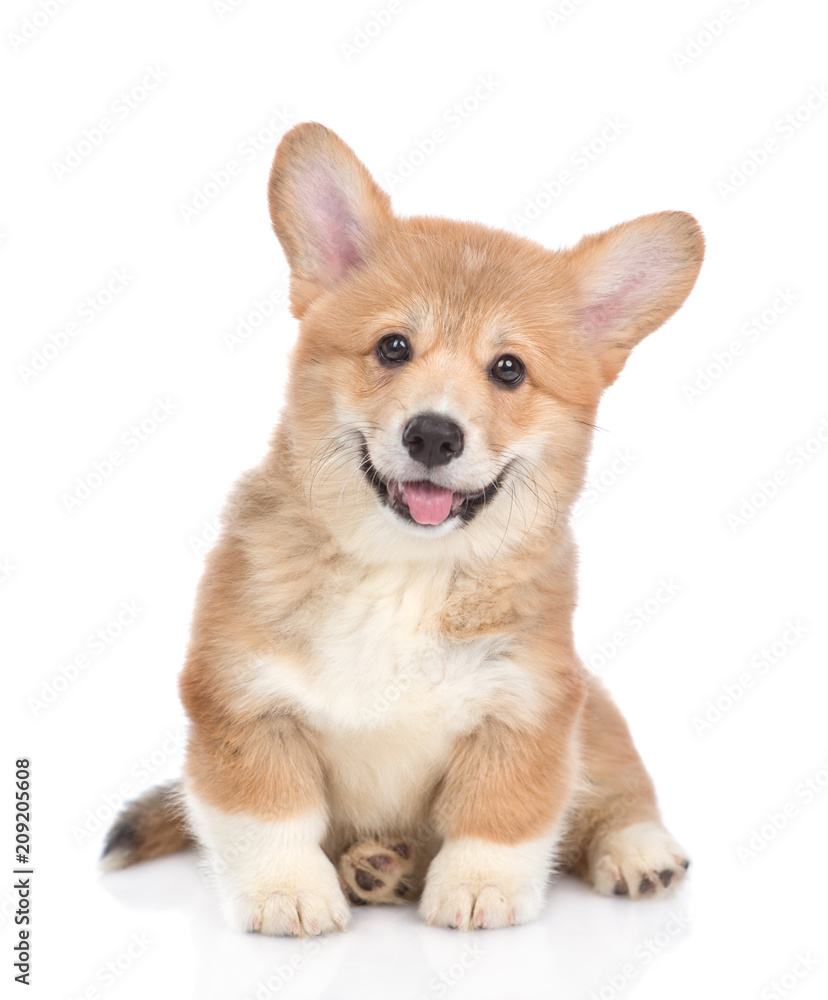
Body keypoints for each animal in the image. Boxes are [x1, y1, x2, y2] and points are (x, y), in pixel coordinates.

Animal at [100, 121, 700, 932]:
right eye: (392, 347)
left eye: (508, 369)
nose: (434, 435)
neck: (403, 571)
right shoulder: (244, 703)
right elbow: (269, 816)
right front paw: (287, 894)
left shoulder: (527, 708)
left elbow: (500, 815)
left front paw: (479, 889)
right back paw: (377, 868)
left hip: (594, 710)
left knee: (615, 787)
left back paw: (638, 852)